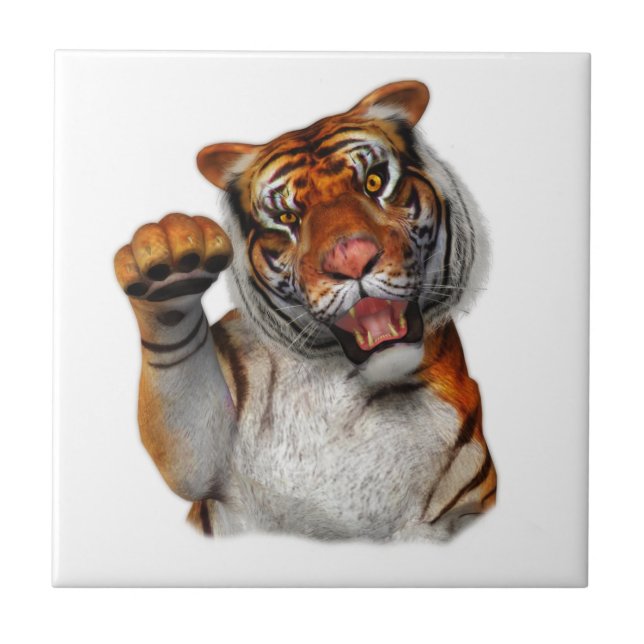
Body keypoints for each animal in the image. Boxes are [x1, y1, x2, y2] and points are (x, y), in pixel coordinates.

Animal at [113, 80, 496, 541]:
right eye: (287, 217)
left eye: (374, 182)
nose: (351, 259)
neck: (345, 383)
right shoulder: (213, 456)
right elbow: (190, 454)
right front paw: (171, 261)